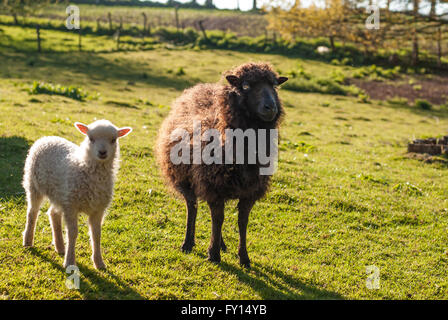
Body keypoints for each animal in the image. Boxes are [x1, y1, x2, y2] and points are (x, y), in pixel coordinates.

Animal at [22, 119, 132, 268]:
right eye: (90, 138)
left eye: (113, 139)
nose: (102, 152)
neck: (83, 166)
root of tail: (47, 138)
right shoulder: (71, 206)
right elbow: (72, 233)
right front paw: (69, 261)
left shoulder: (97, 209)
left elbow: (96, 234)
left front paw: (99, 263)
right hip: (34, 185)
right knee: (32, 212)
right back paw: (28, 241)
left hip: (60, 194)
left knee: (53, 213)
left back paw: (60, 247)